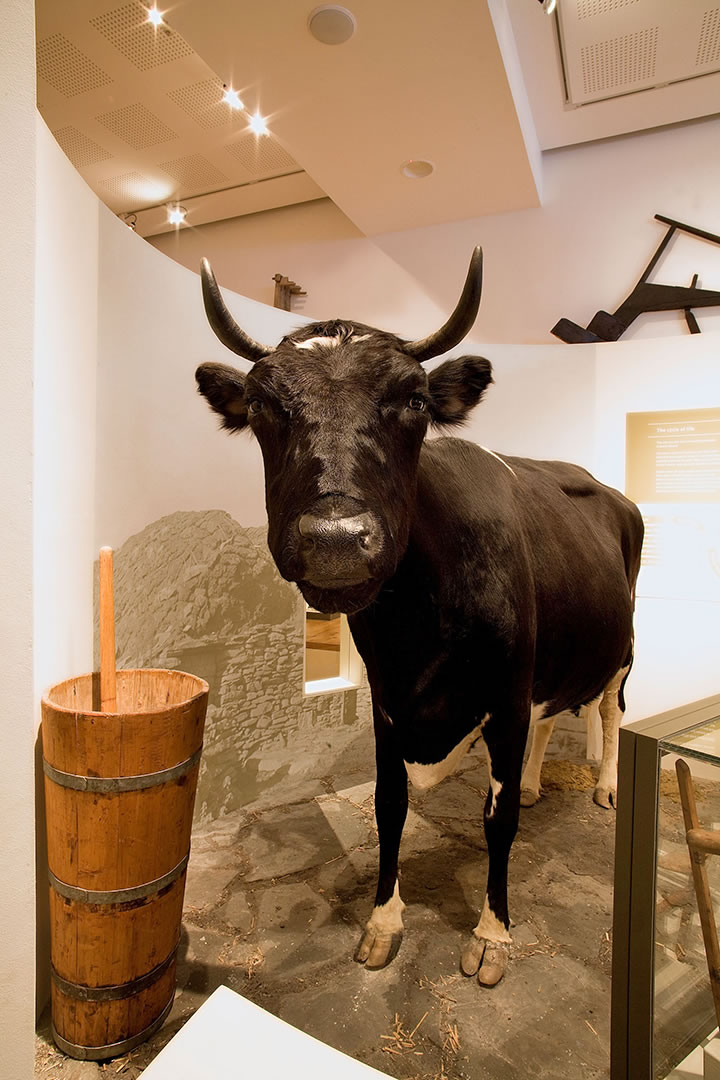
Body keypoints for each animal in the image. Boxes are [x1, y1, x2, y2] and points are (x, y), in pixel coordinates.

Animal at [194, 250, 643, 989]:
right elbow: (389, 806)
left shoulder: (507, 696)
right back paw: (536, 780)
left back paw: (604, 787)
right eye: (262, 405)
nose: (336, 539)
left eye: (413, 402)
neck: (420, 632)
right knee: (556, 716)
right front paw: (383, 921)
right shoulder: (387, 701)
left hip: (624, 647)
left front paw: (492, 934)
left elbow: (497, 819)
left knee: (611, 706)